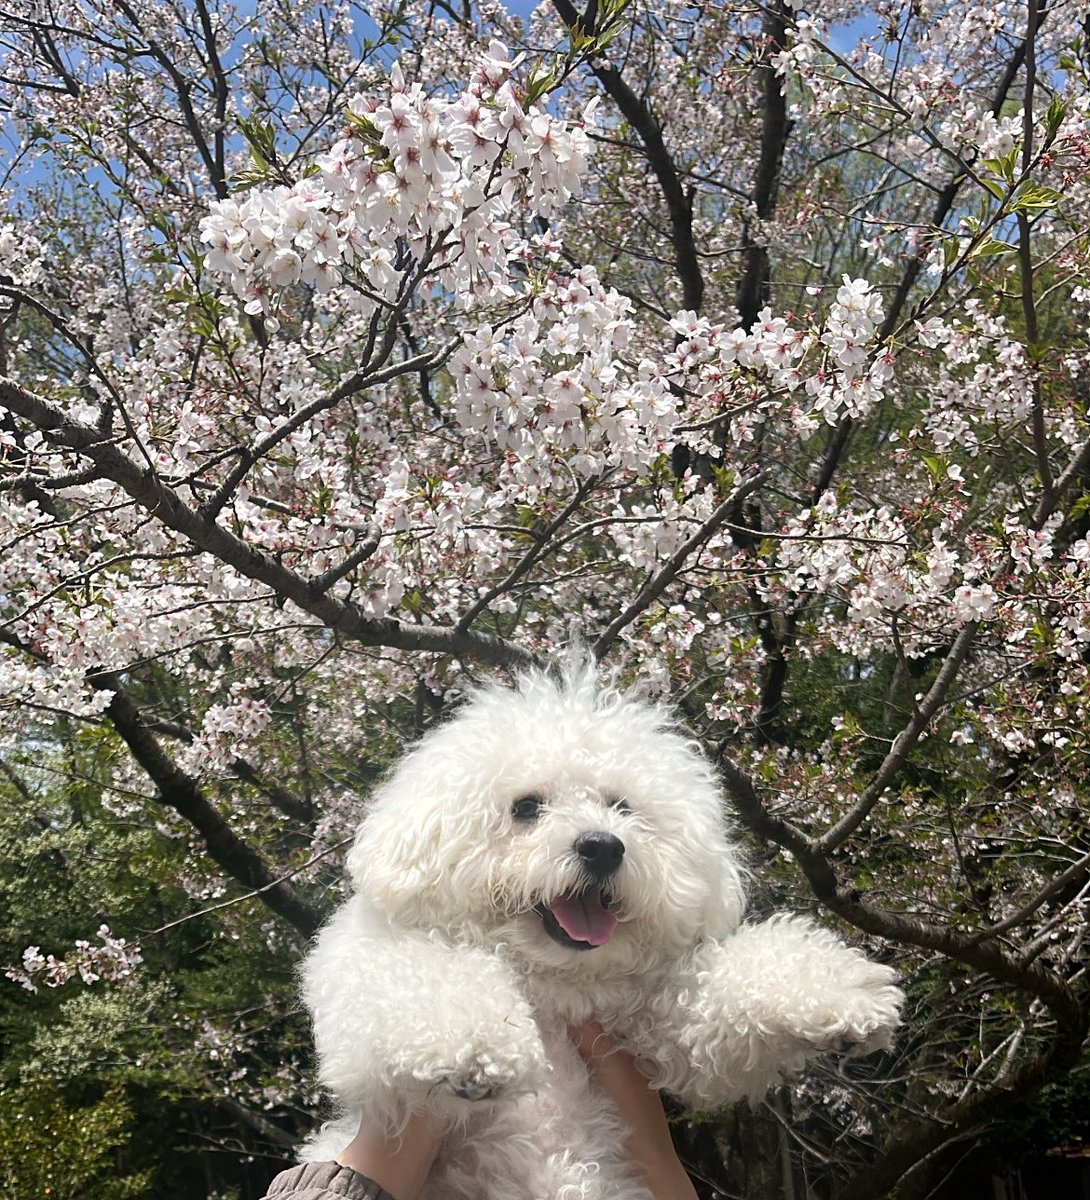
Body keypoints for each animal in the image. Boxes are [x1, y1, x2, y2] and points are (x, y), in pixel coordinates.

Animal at [300, 662, 902, 1195]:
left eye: (622, 807)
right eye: (526, 806)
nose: (602, 846)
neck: (554, 985)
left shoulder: (656, 1023)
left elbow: (714, 1016)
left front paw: (842, 993)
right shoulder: (371, 968)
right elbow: (422, 973)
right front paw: (476, 1047)